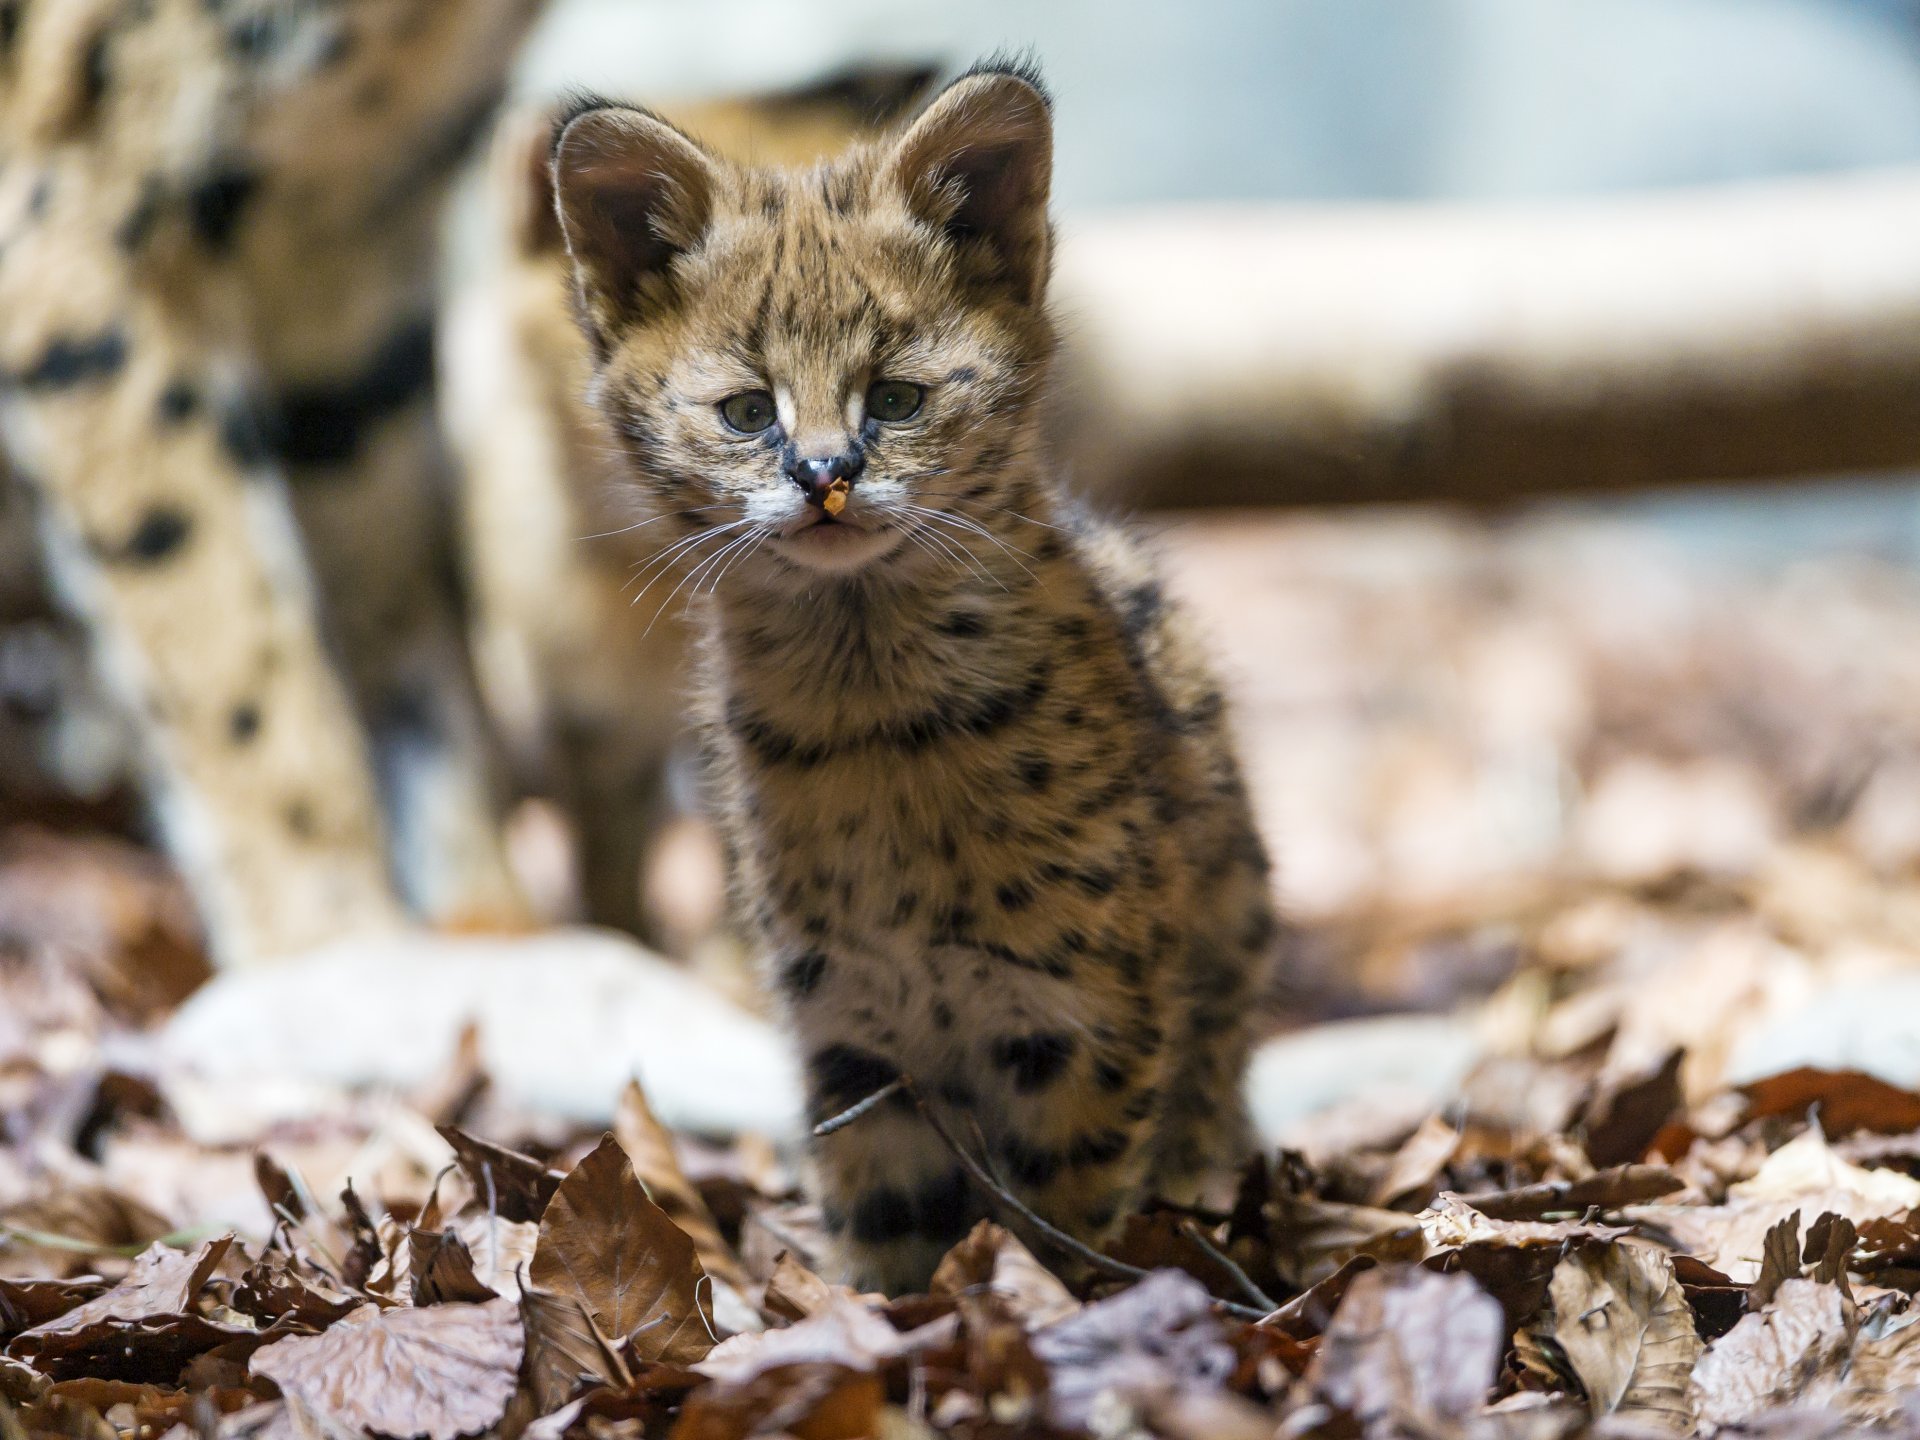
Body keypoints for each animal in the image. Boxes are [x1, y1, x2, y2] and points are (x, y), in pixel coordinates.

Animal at [551, 59, 1279, 1292]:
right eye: (747, 411)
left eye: (895, 397)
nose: (824, 475)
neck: (871, 712)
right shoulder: (846, 1024)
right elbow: (883, 1218)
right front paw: (877, 1319)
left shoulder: (1087, 1007)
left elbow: (1063, 1211)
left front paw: (1054, 1307)